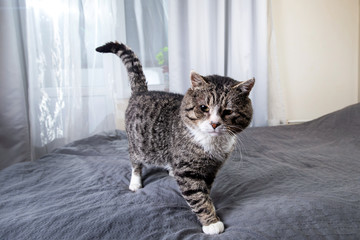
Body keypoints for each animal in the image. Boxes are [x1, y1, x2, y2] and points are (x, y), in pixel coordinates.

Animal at [95, 41, 253, 234]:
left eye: (228, 111)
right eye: (204, 107)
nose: (215, 124)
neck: (212, 144)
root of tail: (141, 92)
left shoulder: (211, 170)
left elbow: (205, 191)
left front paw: (210, 206)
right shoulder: (187, 171)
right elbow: (197, 196)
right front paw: (211, 222)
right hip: (137, 142)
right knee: (134, 160)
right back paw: (135, 181)